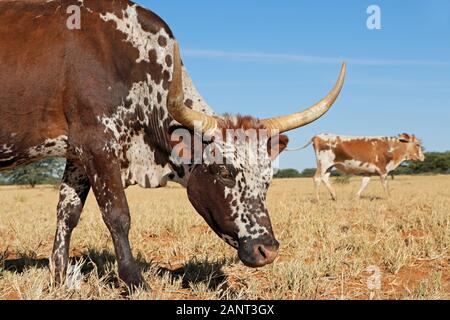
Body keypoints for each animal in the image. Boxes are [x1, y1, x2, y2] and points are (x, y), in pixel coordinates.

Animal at [0, 0, 348, 290]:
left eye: (268, 178)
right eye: (224, 172)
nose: (267, 250)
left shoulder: (77, 155)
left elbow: (67, 215)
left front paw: (58, 280)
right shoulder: (97, 144)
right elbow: (118, 215)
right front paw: (135, 282)